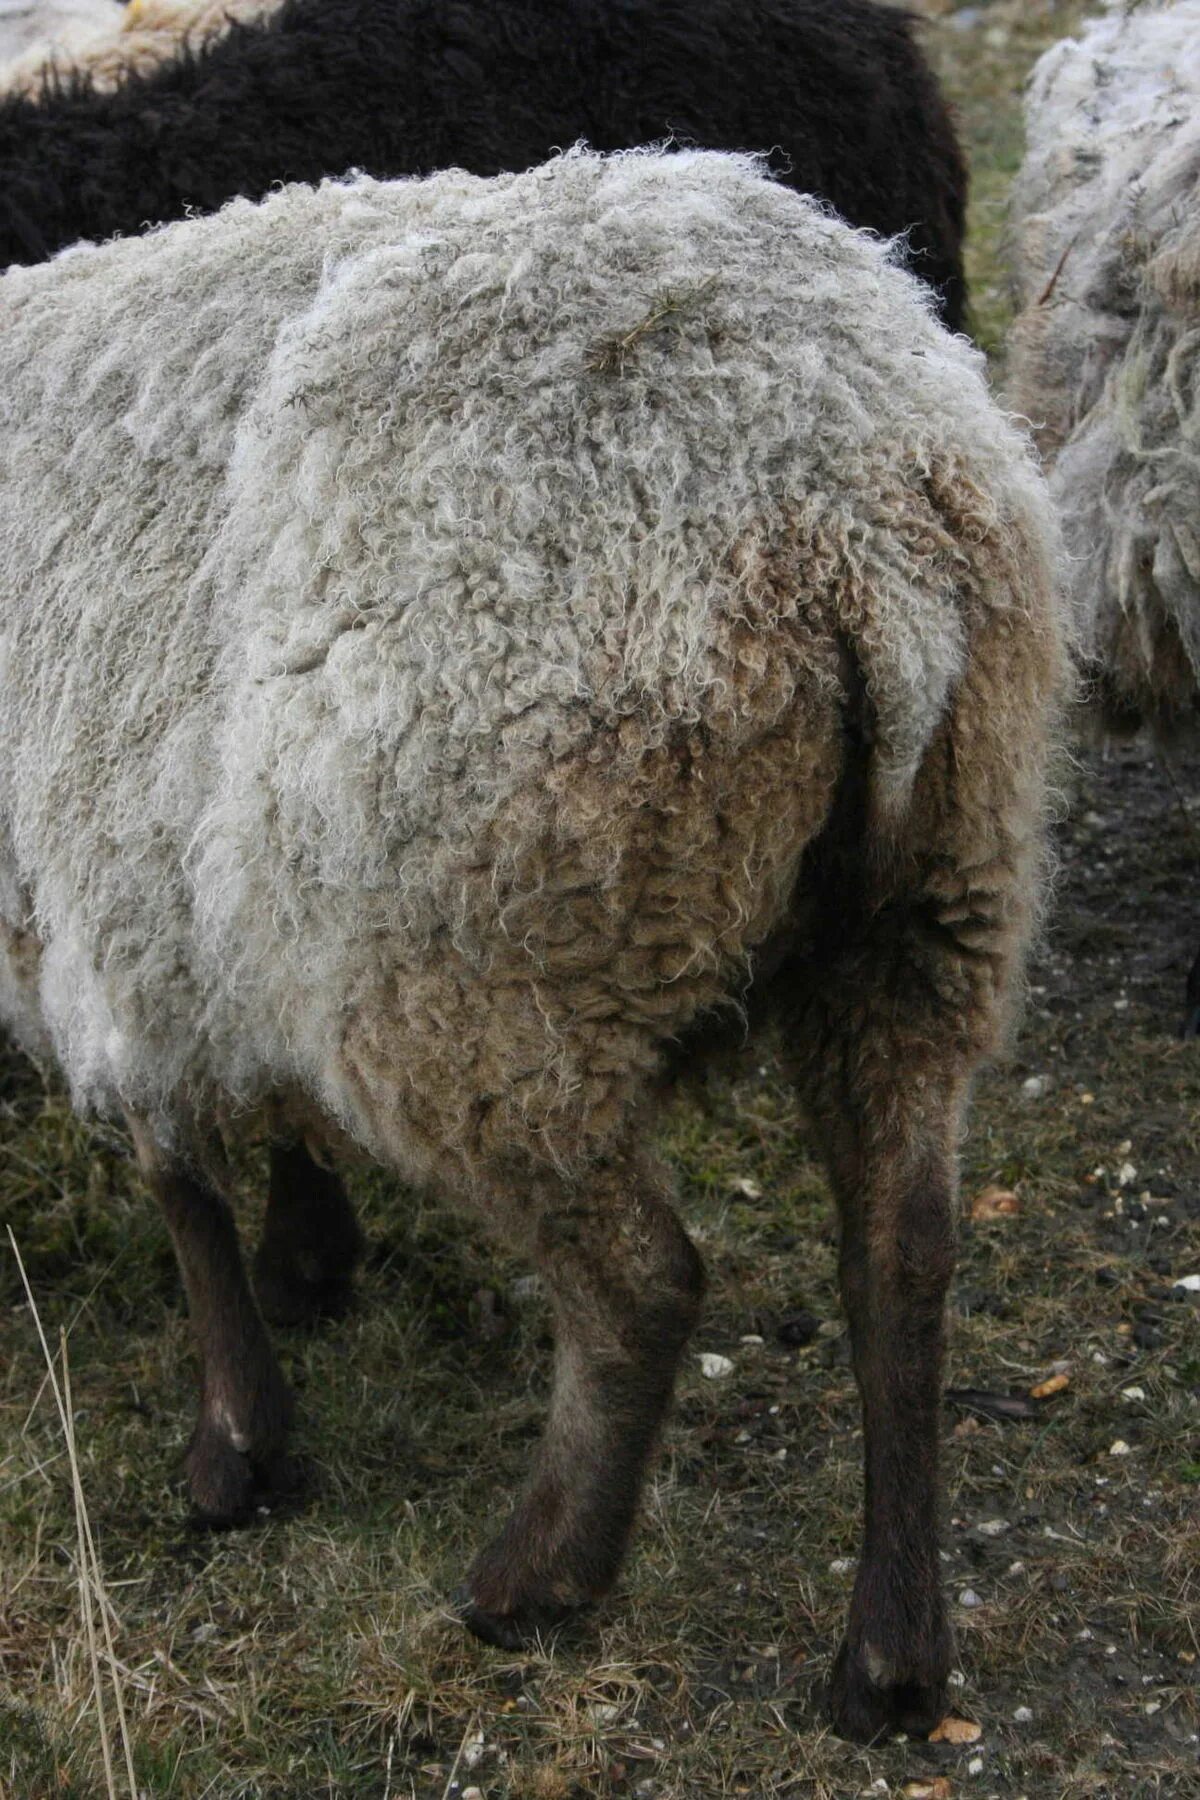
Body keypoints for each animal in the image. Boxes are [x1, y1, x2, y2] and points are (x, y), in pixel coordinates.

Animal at [0, 148, 1066, 1742]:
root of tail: (845, 520)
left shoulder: (103, 910)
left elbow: (178, 1180)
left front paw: (236, 1449)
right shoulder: (214, 911)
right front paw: (312, 1253)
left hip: (484, 970)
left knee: (643, 1284)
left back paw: (537, 1579)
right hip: (933, 902)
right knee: (903, 1250)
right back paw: (887, 1658)